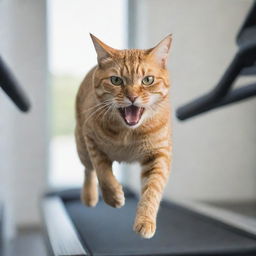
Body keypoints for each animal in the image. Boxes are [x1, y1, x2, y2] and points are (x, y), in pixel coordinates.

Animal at [75, 33, 173, 238]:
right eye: (116, 80)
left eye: (148, 80)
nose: (132, 97)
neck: (128, 132)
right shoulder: (91, 141)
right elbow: (103, 173)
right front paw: (113, 196)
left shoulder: (159, 155)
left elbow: (152, 189)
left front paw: (145, 220)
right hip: (81, 147)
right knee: (88, 170)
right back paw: (89, 196)